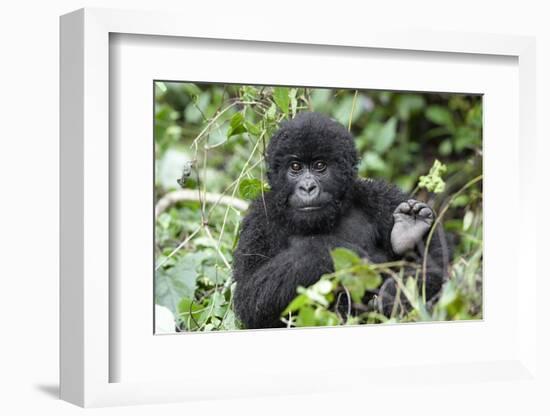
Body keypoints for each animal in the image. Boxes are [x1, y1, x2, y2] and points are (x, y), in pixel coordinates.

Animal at [233, 111, 448, 328]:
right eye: (295, 167)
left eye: (320, 166)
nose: (308, 187)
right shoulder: (259, 220)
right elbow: (250, 297)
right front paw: (336, 252)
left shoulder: (378, 195)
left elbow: (436, 264)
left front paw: (395, 294)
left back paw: (409, 232)